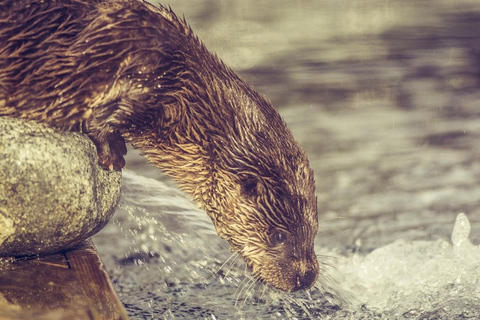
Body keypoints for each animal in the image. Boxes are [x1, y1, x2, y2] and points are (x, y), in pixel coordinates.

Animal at [1, 0, 320, 292]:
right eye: (279, 236)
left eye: (314, 230)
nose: (307, 278)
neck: (180, 84)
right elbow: (99, 115)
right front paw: (113, 155)